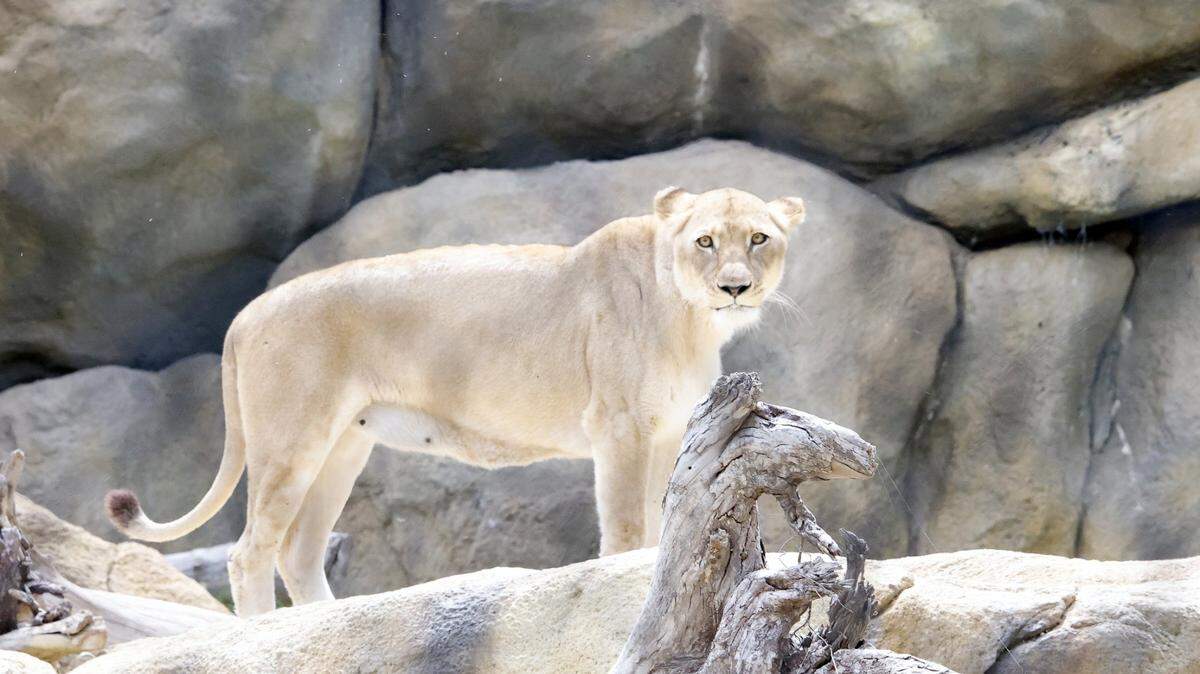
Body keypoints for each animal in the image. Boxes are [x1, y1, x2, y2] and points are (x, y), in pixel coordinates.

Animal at [104, 186, 804, 616]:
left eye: (759, 239)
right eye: (705, 241)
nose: (735, 287)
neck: (691, 317)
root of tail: (245, 314)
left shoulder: (664, 434)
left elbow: (665, 528)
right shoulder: (621, 428)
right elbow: (630, 531)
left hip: (344, 445)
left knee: (296, 552)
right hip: (290, 442)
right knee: (248, 551)